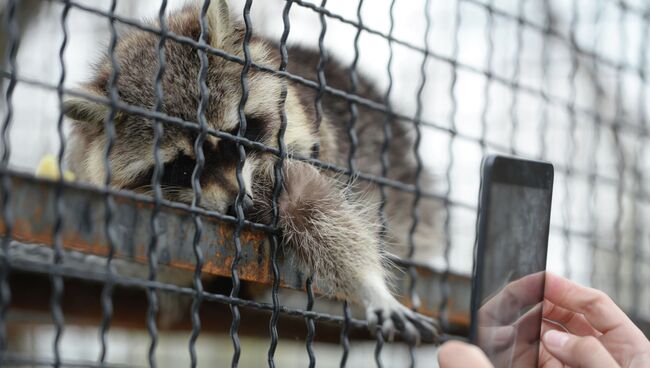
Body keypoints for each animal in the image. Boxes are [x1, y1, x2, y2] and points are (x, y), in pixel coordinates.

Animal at [63, 0, 440, 344]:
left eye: (235, 134)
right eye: (183, 166)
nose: (237, 203)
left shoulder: (296, 150)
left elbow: (317, 209)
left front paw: (369, 285)